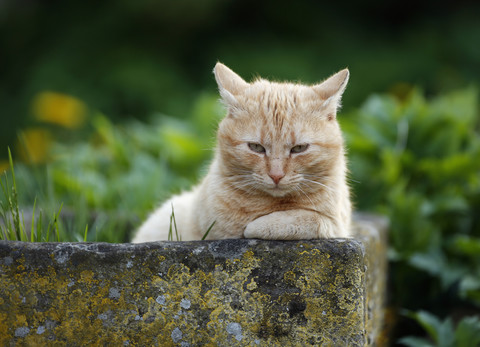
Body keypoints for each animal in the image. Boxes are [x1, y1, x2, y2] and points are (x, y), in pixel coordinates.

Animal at [130, 62, 348, 242]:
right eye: (256, 147)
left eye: (299, 148)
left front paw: (260, 225)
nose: (276, 175)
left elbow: (310, 219)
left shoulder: (336, 226)